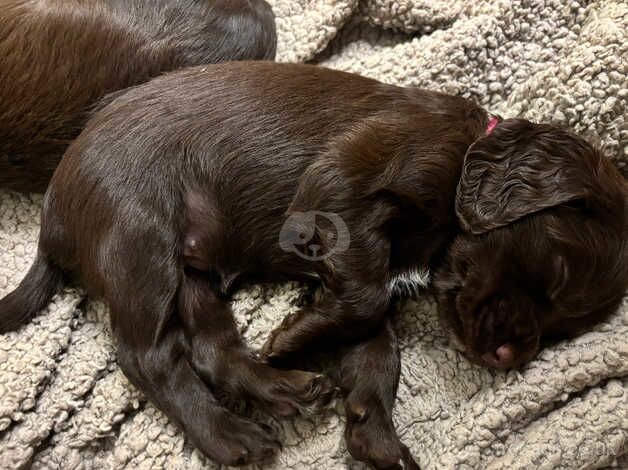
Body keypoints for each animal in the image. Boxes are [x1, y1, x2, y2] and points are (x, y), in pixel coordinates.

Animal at [0, 61, 624, 466]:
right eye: (554, 274)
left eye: (565, 327)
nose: (507, 359)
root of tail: (51, 220)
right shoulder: (343, 188)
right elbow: (366, 300)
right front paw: (290, 338)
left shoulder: (366, 270)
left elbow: (375, 348)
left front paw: (377, 439)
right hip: (142, 241)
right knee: (149, 356)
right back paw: (232, 435)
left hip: (192, 272)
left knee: (210, 348)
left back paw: (282, 389)